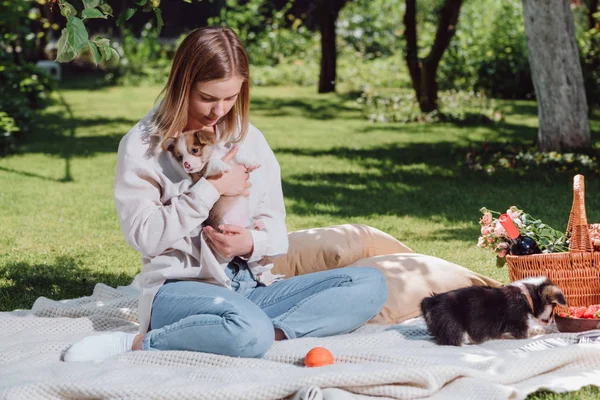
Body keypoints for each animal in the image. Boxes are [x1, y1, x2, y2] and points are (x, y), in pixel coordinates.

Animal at [420, 276, 564, 346]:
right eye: (552, 310)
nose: (552, 321)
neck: (527, 298)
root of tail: (431, 301)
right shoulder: (520, 329)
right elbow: (537, 331)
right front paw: (547, 331)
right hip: (453, 325)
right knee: (453, 341)